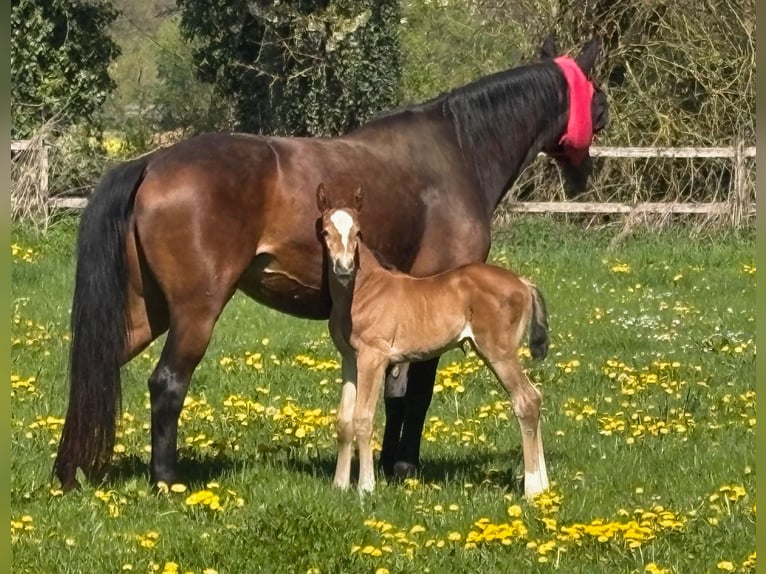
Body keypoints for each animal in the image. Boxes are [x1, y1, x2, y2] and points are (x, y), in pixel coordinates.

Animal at [317, 182, 550, 496]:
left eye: (358, 233)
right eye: (325, 232)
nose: (343, 268)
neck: (363, 290)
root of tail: (524, 283)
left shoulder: (373, 358)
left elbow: (363, 419)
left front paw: (366, 487)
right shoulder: (350, 360)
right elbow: (344, 421)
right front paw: (340, 485)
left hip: (498, 351)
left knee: (526, 400)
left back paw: (533, 488)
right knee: (534, 397)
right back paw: (545, 486)